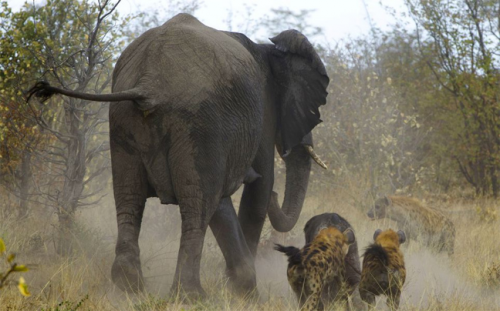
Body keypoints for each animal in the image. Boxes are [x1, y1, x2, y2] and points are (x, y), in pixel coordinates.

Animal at [29, 13, 330, 298]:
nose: (278, 198)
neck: (269, 50)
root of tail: (148, 82)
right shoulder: (262, 114)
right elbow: (258, 191)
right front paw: (245, 294)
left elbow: (222, 202)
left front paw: (239, 287)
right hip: (198, 122)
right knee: (197, 207)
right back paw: (191, 295)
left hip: (124, 120)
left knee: (130, 198)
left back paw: (130, 286)